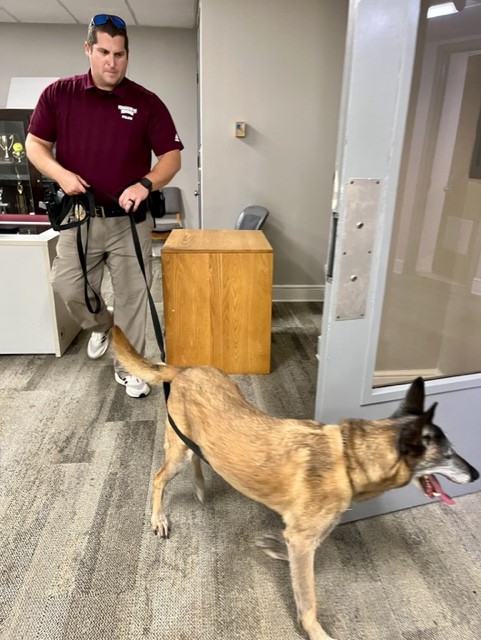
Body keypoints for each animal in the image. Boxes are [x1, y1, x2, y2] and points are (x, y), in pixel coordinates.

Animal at [111, 328, 476, 640]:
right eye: (448, 454)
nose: (475, 474)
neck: (348, 459)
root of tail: (185, 369)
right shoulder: (302, 537)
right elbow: (308, 599)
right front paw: (315, 631)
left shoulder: (305, 534)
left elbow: (303, 556)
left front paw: (276, 549)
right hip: (177, 455)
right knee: (158, 477)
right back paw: (159, 517)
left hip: (194, 441)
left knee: (198, 460)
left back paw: (201, 488)